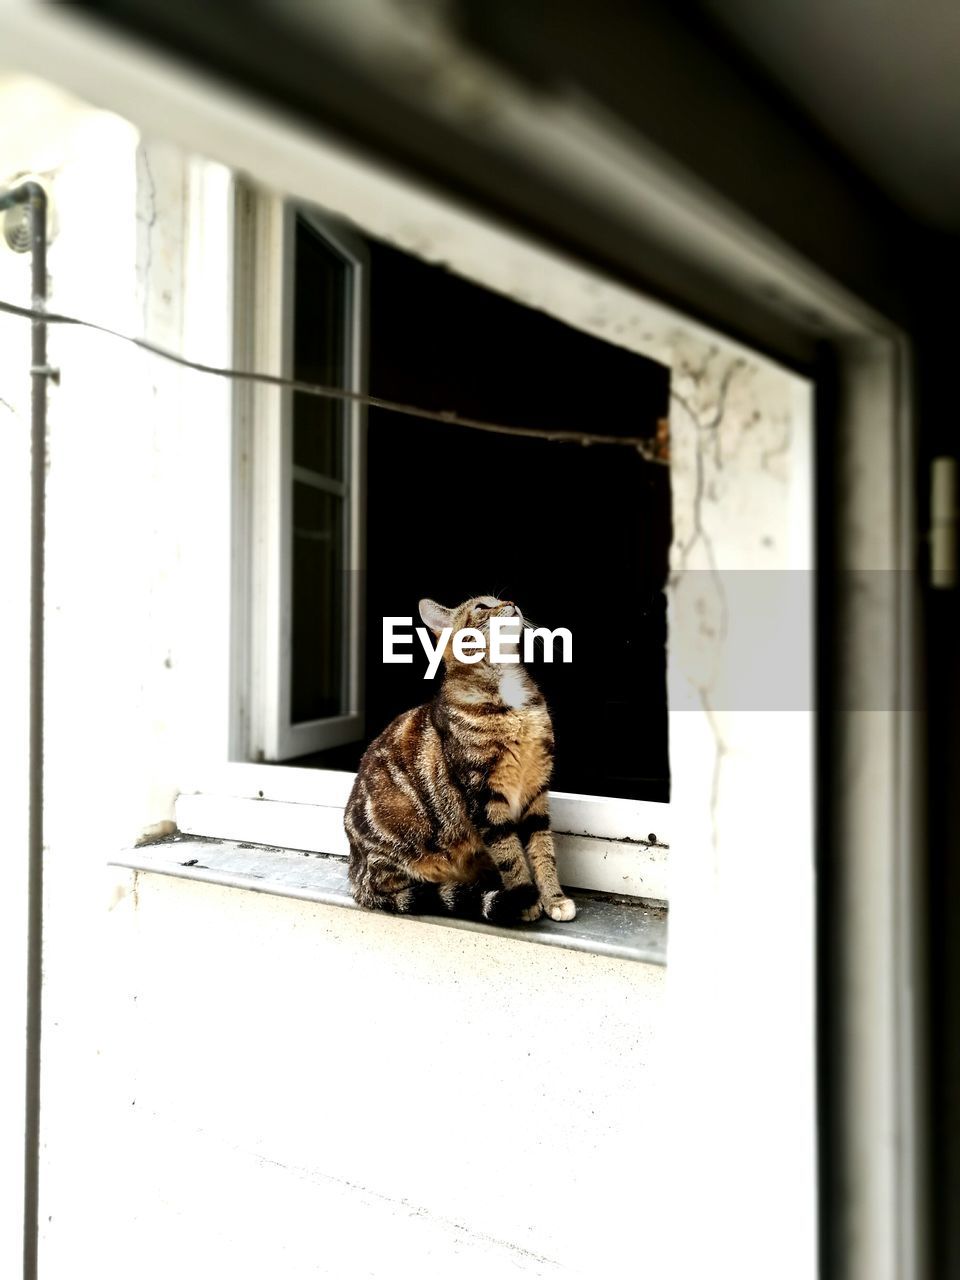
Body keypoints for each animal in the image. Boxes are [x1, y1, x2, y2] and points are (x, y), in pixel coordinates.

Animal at [345, 593, 576, 926]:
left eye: (499, 599)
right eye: (482, 606)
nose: (512, 602)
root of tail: (355, 871)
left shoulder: (536, 788)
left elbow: (542, 849)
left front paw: (554, 899)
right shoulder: (483, 796)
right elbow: (510, 855)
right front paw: (525, 899)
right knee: (399, 891)